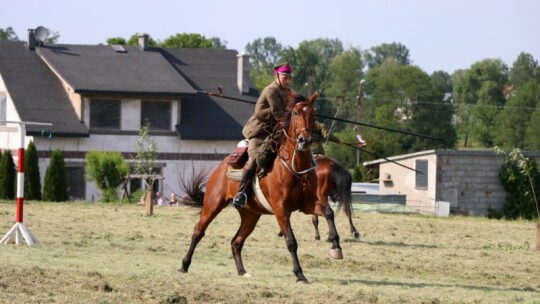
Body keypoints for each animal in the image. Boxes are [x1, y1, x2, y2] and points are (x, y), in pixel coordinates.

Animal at [179, 91, 344, 282]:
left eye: (313, 114)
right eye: (296, 113)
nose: (304, 141)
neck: (295, 166)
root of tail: (220, 166)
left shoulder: (307, 204)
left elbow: (328, 212)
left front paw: (336, 247)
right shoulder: (281, 210)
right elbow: (291, 241)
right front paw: (299, 274)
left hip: (250, 215)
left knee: (236, 241)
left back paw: (242, 271)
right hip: (213, 204)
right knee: (198, 231)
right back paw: (184, 265)